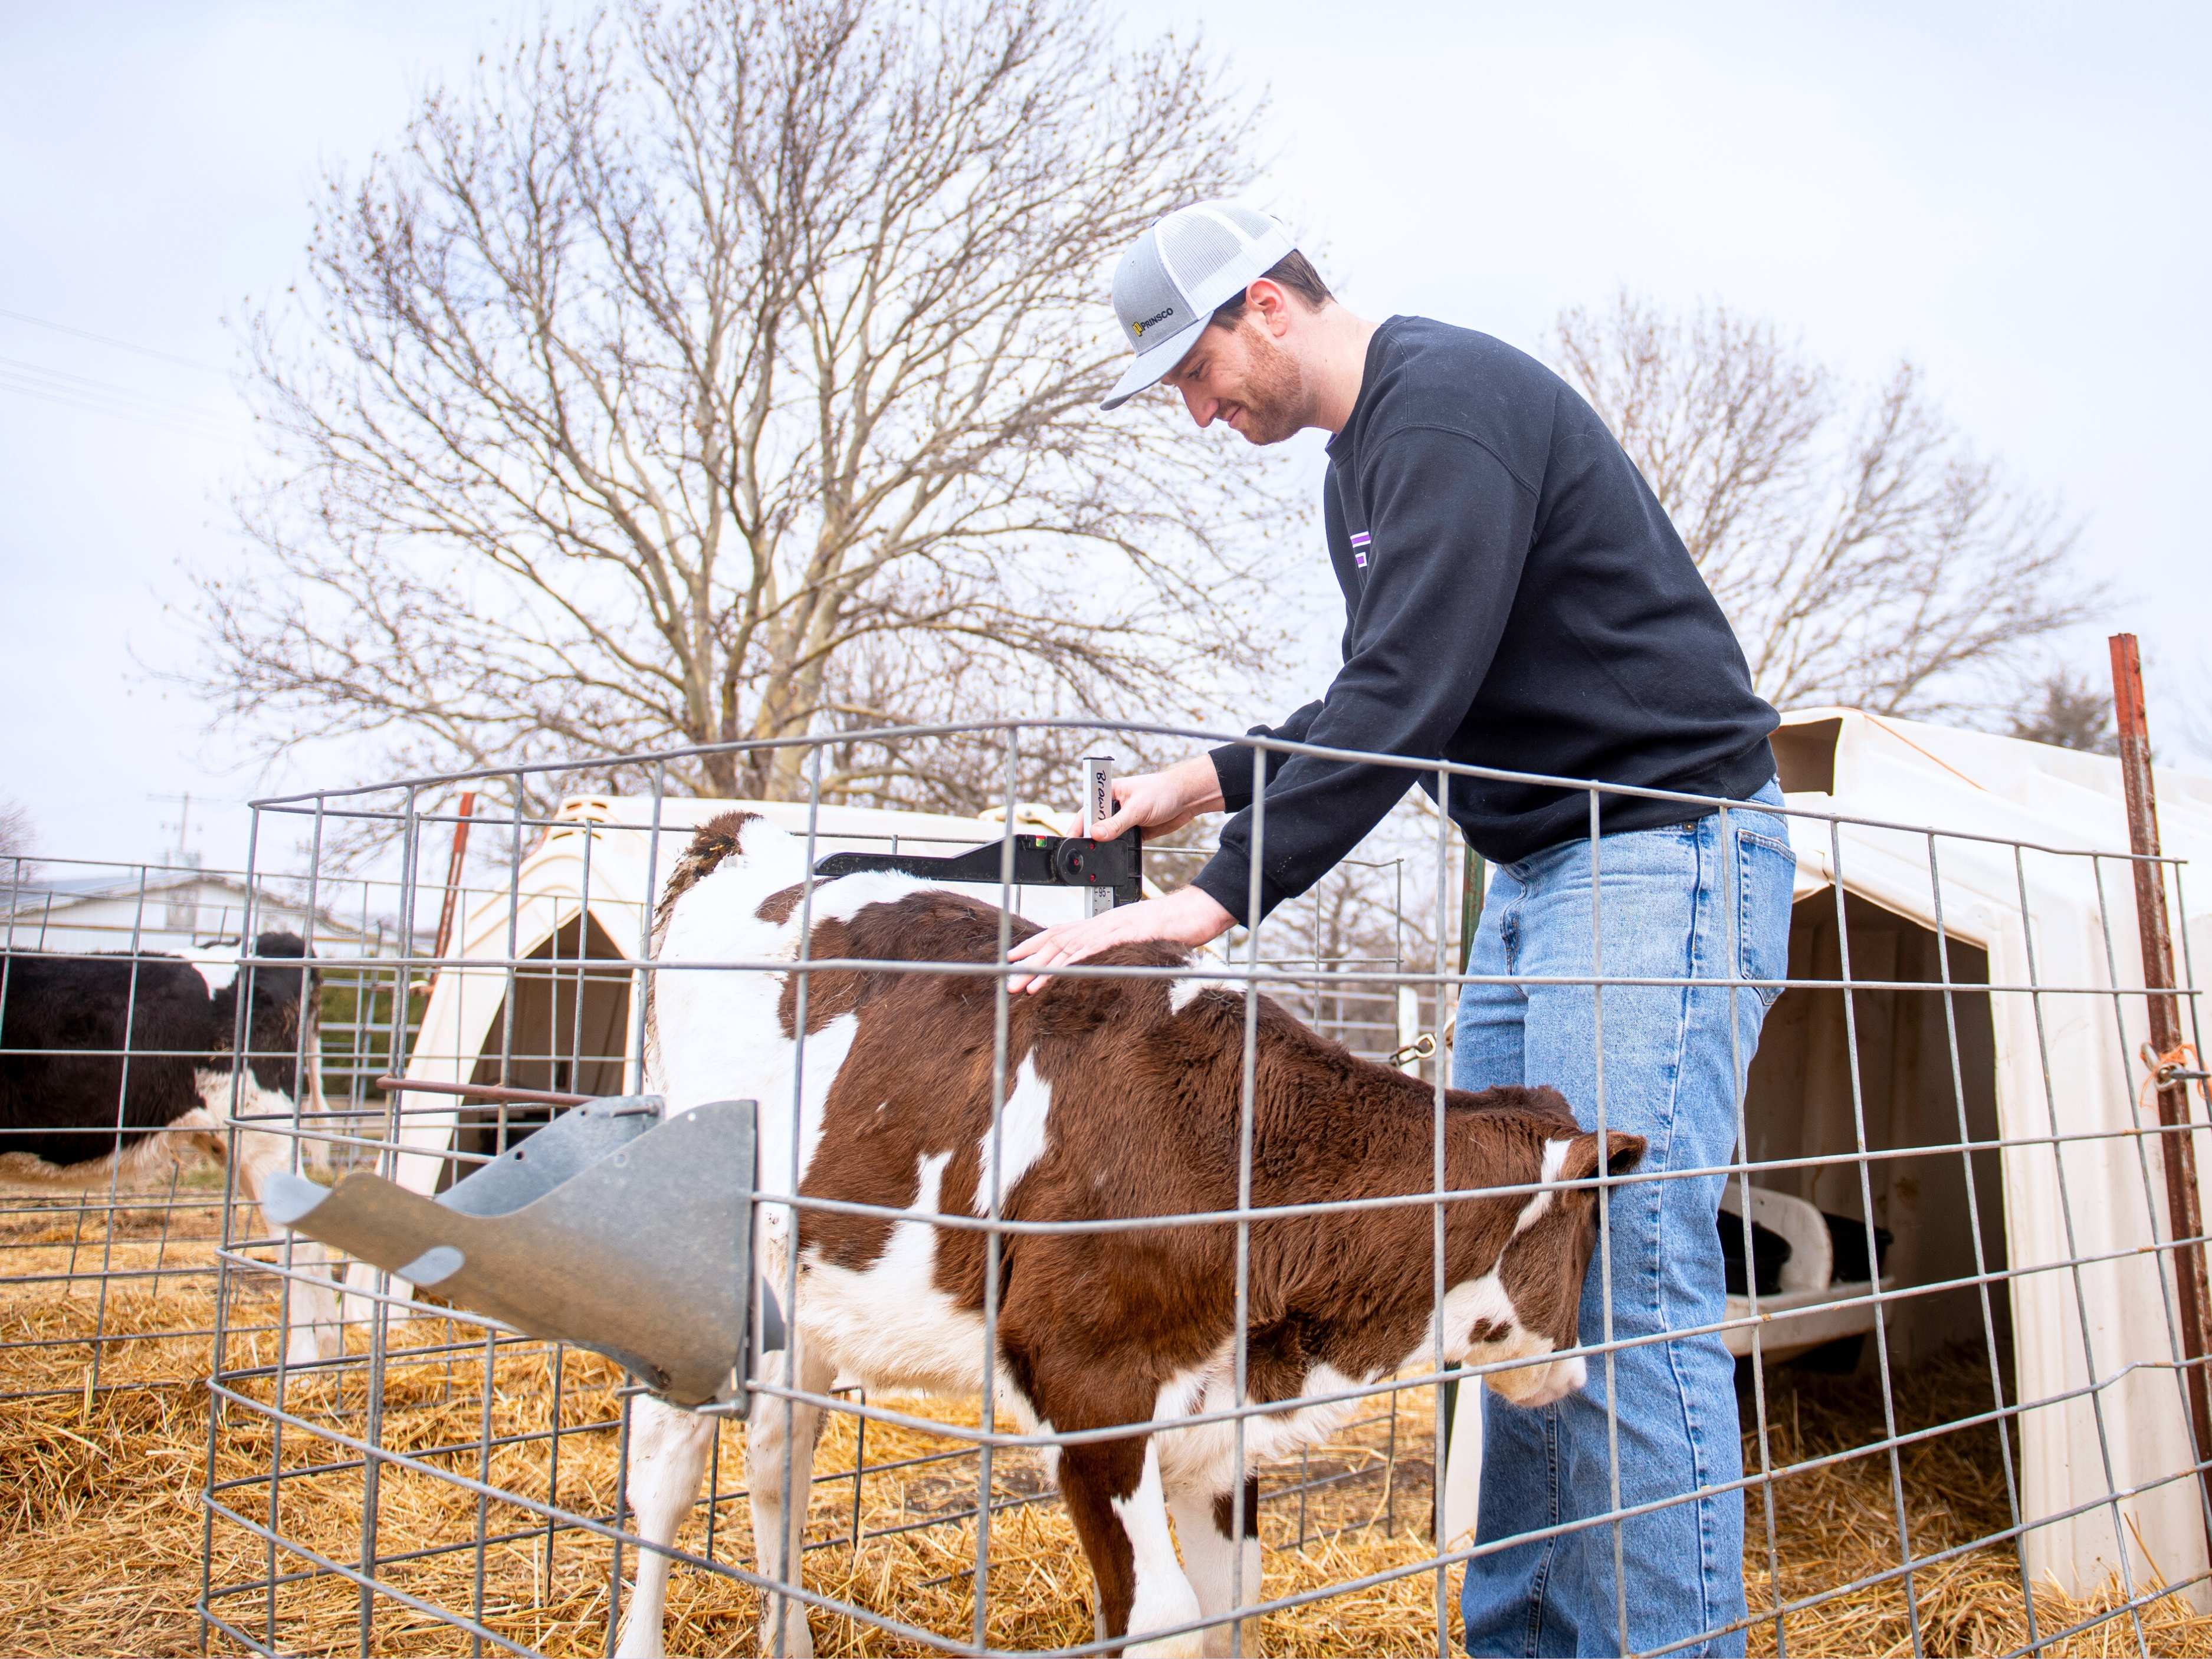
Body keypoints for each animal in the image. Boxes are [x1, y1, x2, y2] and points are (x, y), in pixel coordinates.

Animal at [0, 930, 341, 1365]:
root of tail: (276, 940)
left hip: (263, 1131)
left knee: (299, 1243)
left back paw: (300, 1364)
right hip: (233, 1142)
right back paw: (327, 1354)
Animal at [618, 813, 1642, 1657]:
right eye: (1589, 1238)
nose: (1575, 1375)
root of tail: (746, 838)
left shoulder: (1217, 1413)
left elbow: (1234, 1607)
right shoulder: (1082, 1375)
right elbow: (1164, 1621)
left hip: (813, 1292)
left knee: (777, 1455)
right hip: (698, 1266)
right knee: (667, 1469)